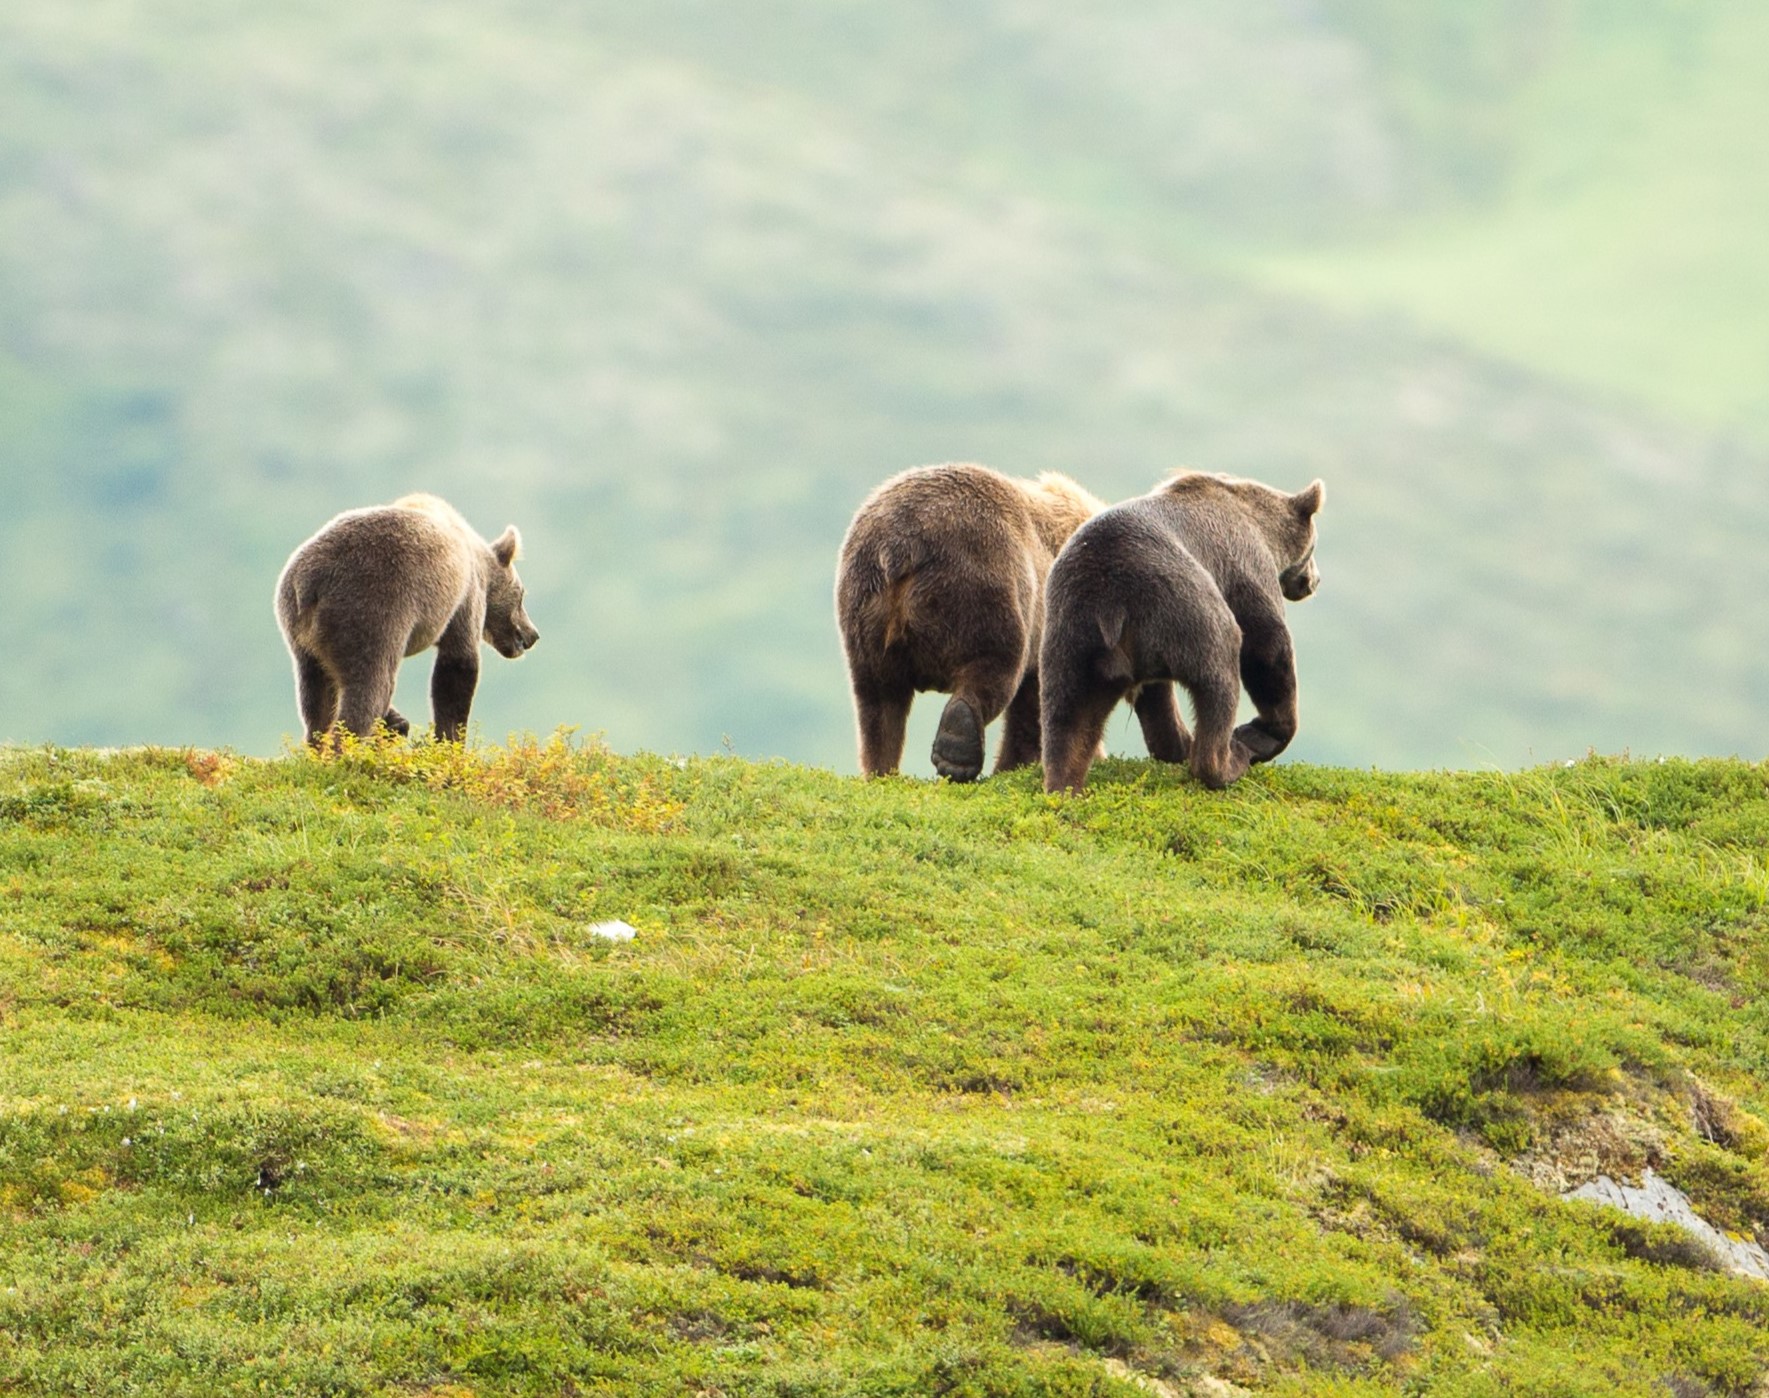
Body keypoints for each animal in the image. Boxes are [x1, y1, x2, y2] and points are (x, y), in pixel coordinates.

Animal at [274, 499, 537, 750]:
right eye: (522, 595)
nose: (533, 634)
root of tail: (310, 584)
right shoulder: (463, 598)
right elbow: (458, 666)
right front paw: (450, 742)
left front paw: (397, 723)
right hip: (371, 612)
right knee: (369, 689)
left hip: (302, 638)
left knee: (317, 702)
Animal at [831, 463, 1103, 782]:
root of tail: (901, 546)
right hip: (985, 583)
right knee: (994, 667)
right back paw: (958, 753)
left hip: (864, 609)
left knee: (878, 701)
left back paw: (882, 769)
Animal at [1033, 477, 1330, 792]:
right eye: (1314, 548)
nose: (1314, 581)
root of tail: (1110, 604)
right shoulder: (1244, 565)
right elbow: (1268, 646)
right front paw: (1262, 733)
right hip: (1184, 605)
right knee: (1221, 673)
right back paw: (1227, 760)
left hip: (1073, 635)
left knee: (1068, 716)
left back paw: (1066, 784)